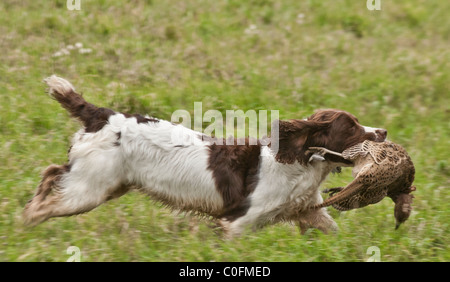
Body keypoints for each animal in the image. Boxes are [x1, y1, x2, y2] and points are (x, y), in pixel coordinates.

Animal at [22, 76, 386, 237]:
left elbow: (333, 232)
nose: (382, 132)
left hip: (104, 184)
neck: (297, 162)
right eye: (351, 127)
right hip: (90, 189)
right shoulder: (238, 221)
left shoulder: (309, 213)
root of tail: (102, 114)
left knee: (52, 171)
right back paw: (27, 220)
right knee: (49, 197)